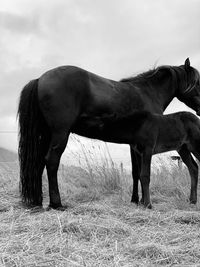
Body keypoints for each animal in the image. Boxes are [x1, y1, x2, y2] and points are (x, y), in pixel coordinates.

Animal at [18, 58, 199, 209]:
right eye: (197, 82)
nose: (199, 109)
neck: (147, 92)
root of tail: (40, 79)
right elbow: (140, 172)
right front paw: (141, 201)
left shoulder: (135, 146)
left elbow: (135, 172)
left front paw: (136, 200)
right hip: (60, 134)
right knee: (52, 161)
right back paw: (57, 204)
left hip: (46, 135)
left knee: (39, 163)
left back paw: (39, 202)